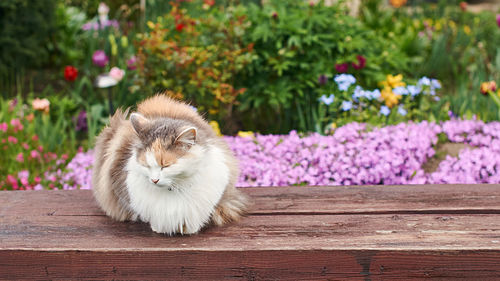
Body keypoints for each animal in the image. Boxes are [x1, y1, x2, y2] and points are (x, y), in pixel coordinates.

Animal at [92, 94, 248, 234]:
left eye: (165, 166)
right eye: (146, 165)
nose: (154, 180)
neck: (174, 189)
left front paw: (187, 230)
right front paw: (158, 228)